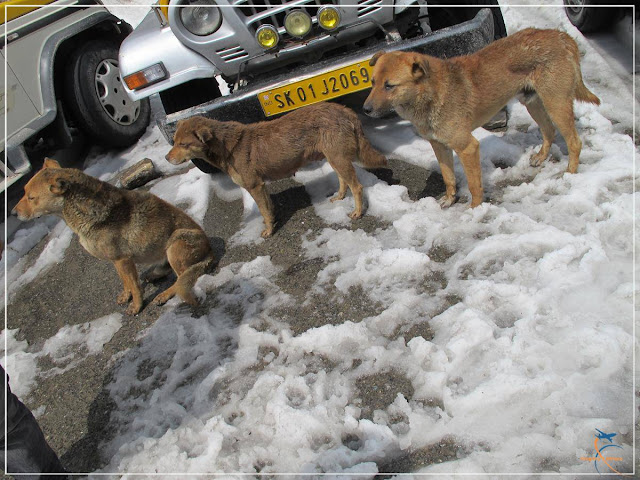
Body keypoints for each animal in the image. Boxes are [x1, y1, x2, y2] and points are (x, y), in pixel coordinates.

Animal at [12, 158, 214, 316]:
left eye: (31, 198)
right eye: (24, 192)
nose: (13, 213)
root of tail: (209, 250)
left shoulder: (123, 259)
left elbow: (135, 286)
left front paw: (136, 306)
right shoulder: (117, 261)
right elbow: (126, 282)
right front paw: (126, 296)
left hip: (175, 244)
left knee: (182, 278)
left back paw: (164, 293)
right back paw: (155, 274)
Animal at [164, 102, 384, 237]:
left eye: (184, 144)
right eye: (174, 141)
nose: (166, 158)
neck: (227, 146)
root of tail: (345, 110)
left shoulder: (254, 185)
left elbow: (263, 210)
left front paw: (269, 231)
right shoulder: (261, 186)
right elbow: (268, 208)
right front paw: (271, 222)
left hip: (338, 157)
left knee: (357, 187)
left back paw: (357, 211)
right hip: (334, 157)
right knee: (342, 180)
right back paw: (339, 196)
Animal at [364, 27, 600, 208]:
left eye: (389, 86)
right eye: (373, 82)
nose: (365, 109)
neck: (430, 94)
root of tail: (561, 35)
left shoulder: (468, 148)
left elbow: (474, 184)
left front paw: (475, 209)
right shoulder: (439, 145)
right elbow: (448, 177)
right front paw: (449, 199)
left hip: (556, 104)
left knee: (574, 142)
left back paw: (570, 172)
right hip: (532, 102)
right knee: (548, 130)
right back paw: (541, 157)